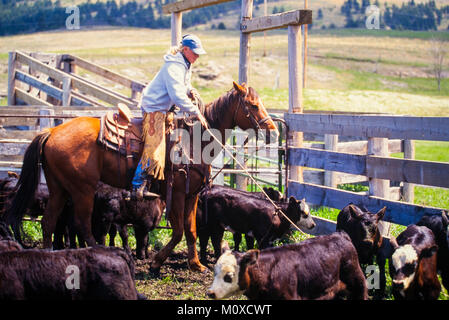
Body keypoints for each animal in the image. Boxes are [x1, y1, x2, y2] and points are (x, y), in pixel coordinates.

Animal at [6, 82, 276, 272]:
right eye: (252, 105)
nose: (272, 129)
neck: (193, 141)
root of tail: (51, 130)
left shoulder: (192, 195)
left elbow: (190, 230)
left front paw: (196, 264)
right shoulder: (177, 193)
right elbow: (178, 230)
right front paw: (156, 263)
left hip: (59, 188)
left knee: (49, 221)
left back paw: (49, 256)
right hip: (82, 189)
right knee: (81, 223)